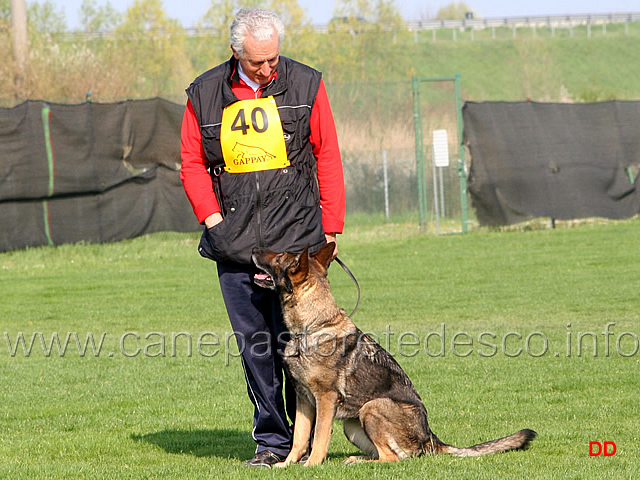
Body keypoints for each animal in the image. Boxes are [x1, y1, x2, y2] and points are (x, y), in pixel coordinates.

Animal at [250, 242, 536, 466]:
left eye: (280, 257)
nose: (252, 249)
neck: (312, 327)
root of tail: (431, 438)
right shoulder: (304, 399)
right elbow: (299, 438)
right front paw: (287, 465)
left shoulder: (325, 399)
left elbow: (318, 437)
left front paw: (311, 465)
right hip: (352, 424)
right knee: (385, 455)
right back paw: (355, 459)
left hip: (371, 407)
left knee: (393, 458)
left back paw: (358, 463)